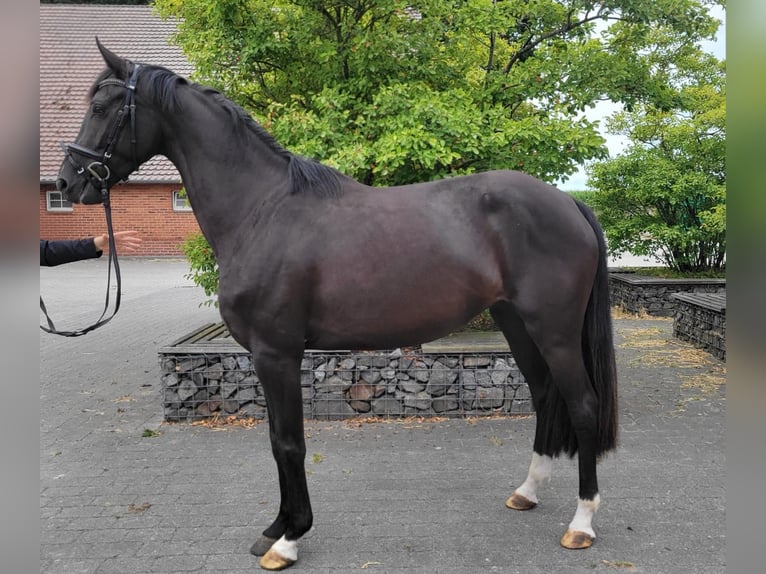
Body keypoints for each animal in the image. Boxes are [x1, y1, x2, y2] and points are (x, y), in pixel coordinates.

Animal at [56, 40, 618, 571]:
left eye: (103, 106)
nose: (68, 182)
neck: (262, 210)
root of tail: (569, 202)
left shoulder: (277, 353)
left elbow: (289, 442)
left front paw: (288, 539)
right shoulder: (268, 357)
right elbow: (277, 439)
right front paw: (275, 526)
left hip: (555, 330)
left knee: (584, 405)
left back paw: (582, 523)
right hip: (516, 323)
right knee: (544, 394)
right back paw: (527, 492)